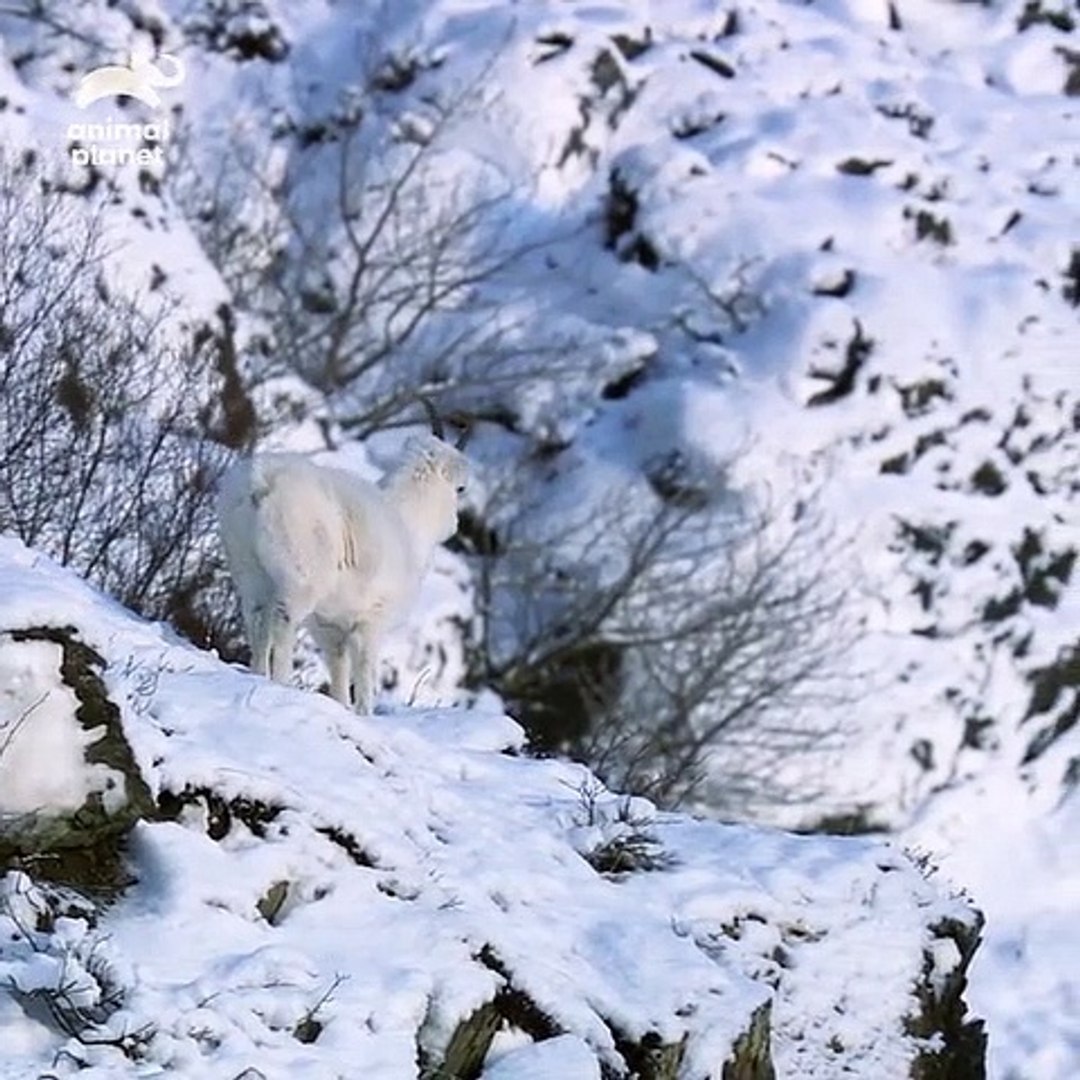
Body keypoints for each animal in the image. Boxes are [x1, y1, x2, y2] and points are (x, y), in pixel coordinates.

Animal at [217, 417, 469, 714]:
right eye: (460, 488)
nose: (455, 525)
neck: (408, 525)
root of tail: (262, 482)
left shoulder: (330, 627)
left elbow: (338, 670)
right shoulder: (371, 623)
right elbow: (364, 673)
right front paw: (364, 713)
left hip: (253, 577)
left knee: (257, 621)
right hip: (298, 586)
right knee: (282, 625)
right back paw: (280, 681)